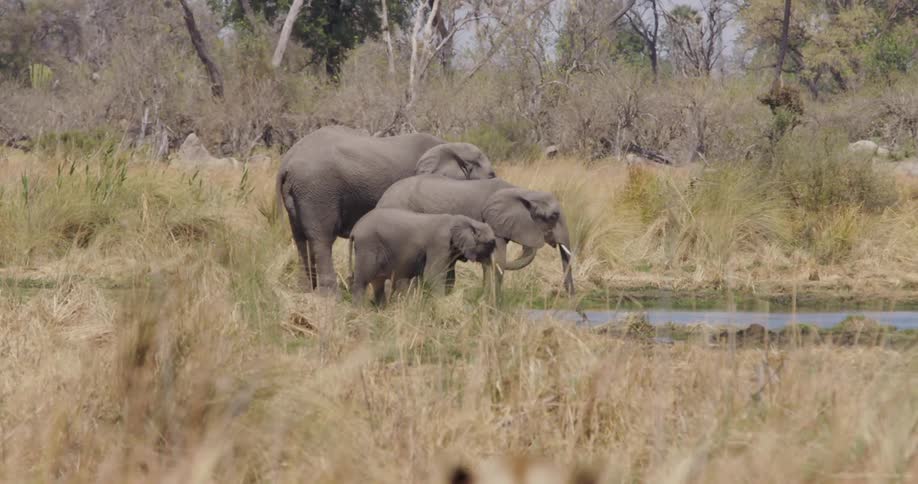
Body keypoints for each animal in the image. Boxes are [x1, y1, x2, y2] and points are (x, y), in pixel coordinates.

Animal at [276, 125, 496, 295]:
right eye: (492, 174)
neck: (451, 147)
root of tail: (287, 161)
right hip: (318, 190)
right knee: (321, 239)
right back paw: (330, 296)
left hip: (299, 193)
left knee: (300, 238)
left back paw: (305, 290)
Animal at [349, 208, 497, 306]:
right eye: (490, 244)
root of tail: (354, 230)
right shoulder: (439, 244)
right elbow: (433, 274)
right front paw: (439, 303)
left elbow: (449, 277)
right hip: (367, 246)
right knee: (363, 280)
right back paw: (359, 310)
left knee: (377, 282)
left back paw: (382, 309)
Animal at [376, 175, 574, 295]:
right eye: (553, 216)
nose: (570, 297)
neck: (523, 191)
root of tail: (383, 198)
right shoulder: (491, 223)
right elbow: (498, 262)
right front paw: (494, 304)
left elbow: (491, 264)